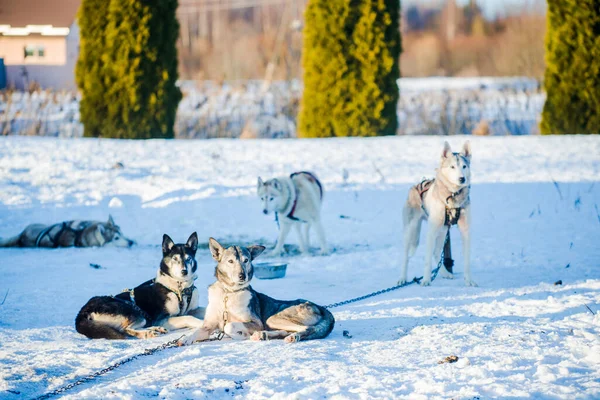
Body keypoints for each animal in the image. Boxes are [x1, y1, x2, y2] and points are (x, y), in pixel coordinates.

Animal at [74, 233, 206, 340]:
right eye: (175, 258)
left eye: (188, 259)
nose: (184, 271)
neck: (180, 288)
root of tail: (84, 310)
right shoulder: (162, 318)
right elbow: (188, 317)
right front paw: (203, 323)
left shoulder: (193, 309)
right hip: (132, 311)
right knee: (125, 329)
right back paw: (147, 333)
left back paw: (155, 329)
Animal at [180, 236, 336, 346]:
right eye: (230, 261)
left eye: (246, 260)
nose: (242, 276)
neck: (229, 293)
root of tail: (320, 307)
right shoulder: (208, 325)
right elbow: (197, 332)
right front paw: (186, 339)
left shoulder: (256, 323)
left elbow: (229, 326)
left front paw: (241, 335)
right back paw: (262, 335)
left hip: (272, 318)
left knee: (306, 329)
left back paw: (290, 337)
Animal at [400, 142, 476, 286]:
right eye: (452, 167)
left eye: (464, 166)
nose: (462, 179)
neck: (453, 196)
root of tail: (415, 186)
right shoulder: (431, 231)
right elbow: (427, 261)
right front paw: (425, 280)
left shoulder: (466, 230)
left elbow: (467, 261)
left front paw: (469, 281)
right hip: (411, 230)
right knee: (406, 256)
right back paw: (402, 278)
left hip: (443, 230)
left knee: (436, 253)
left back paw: (445, 273)